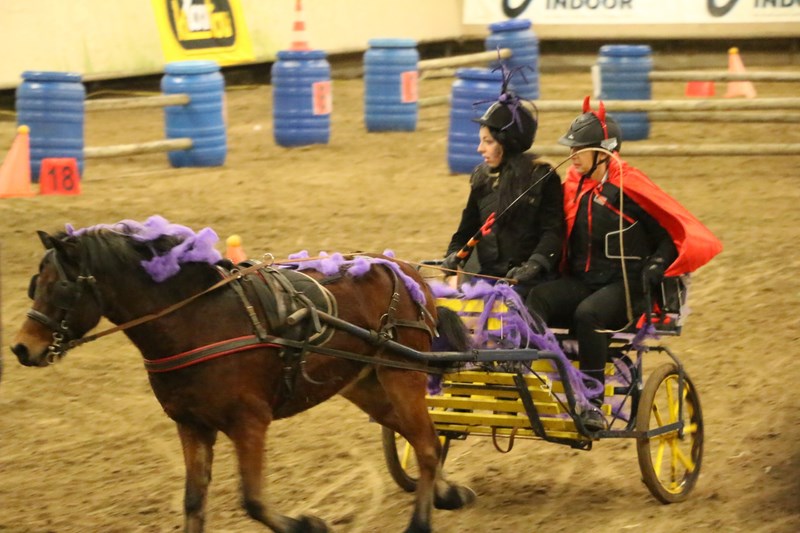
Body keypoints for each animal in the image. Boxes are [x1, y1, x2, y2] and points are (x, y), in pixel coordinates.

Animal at [10, 218, 475, 533]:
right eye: (35, 283)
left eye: (61, 287)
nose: (22, 348)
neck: (198, 318)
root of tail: (407, 274)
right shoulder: (191, 425)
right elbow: (193, 501)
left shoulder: (249, 422)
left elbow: (252, 500)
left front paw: (307, 523)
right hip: (366, 384)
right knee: (420, 435)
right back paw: (447, 492)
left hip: (402, 375)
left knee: (426, 445)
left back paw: (420, 521)